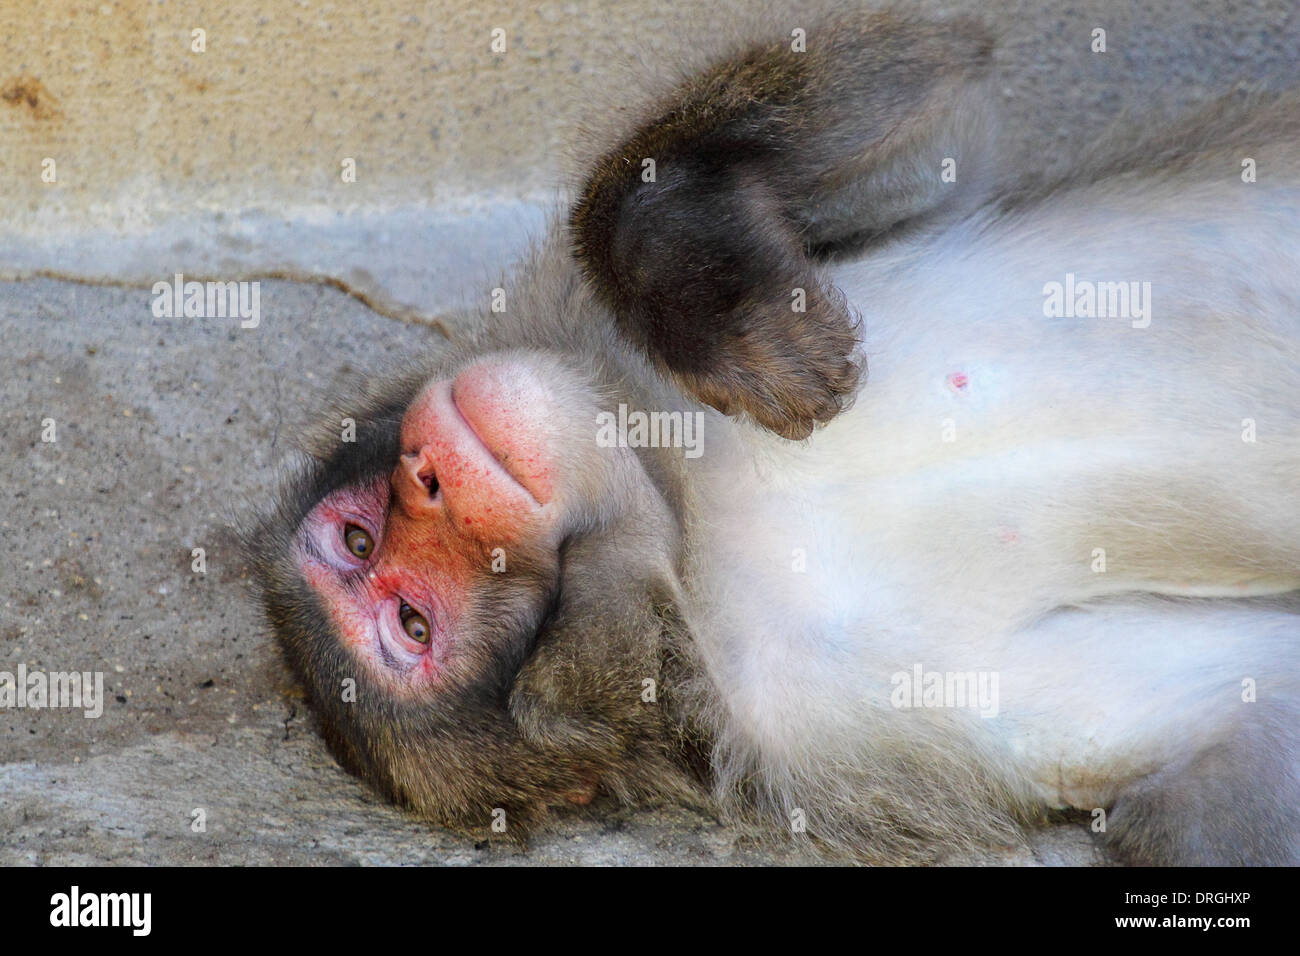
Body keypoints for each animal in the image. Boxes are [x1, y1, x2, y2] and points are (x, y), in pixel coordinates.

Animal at [248, 13, 1294, 868]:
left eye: (359, 542)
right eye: (415, 625)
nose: (428, 475)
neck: (703, 522)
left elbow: (937, 97)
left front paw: (730, 313)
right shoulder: (819, 723)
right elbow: (1241, 734)